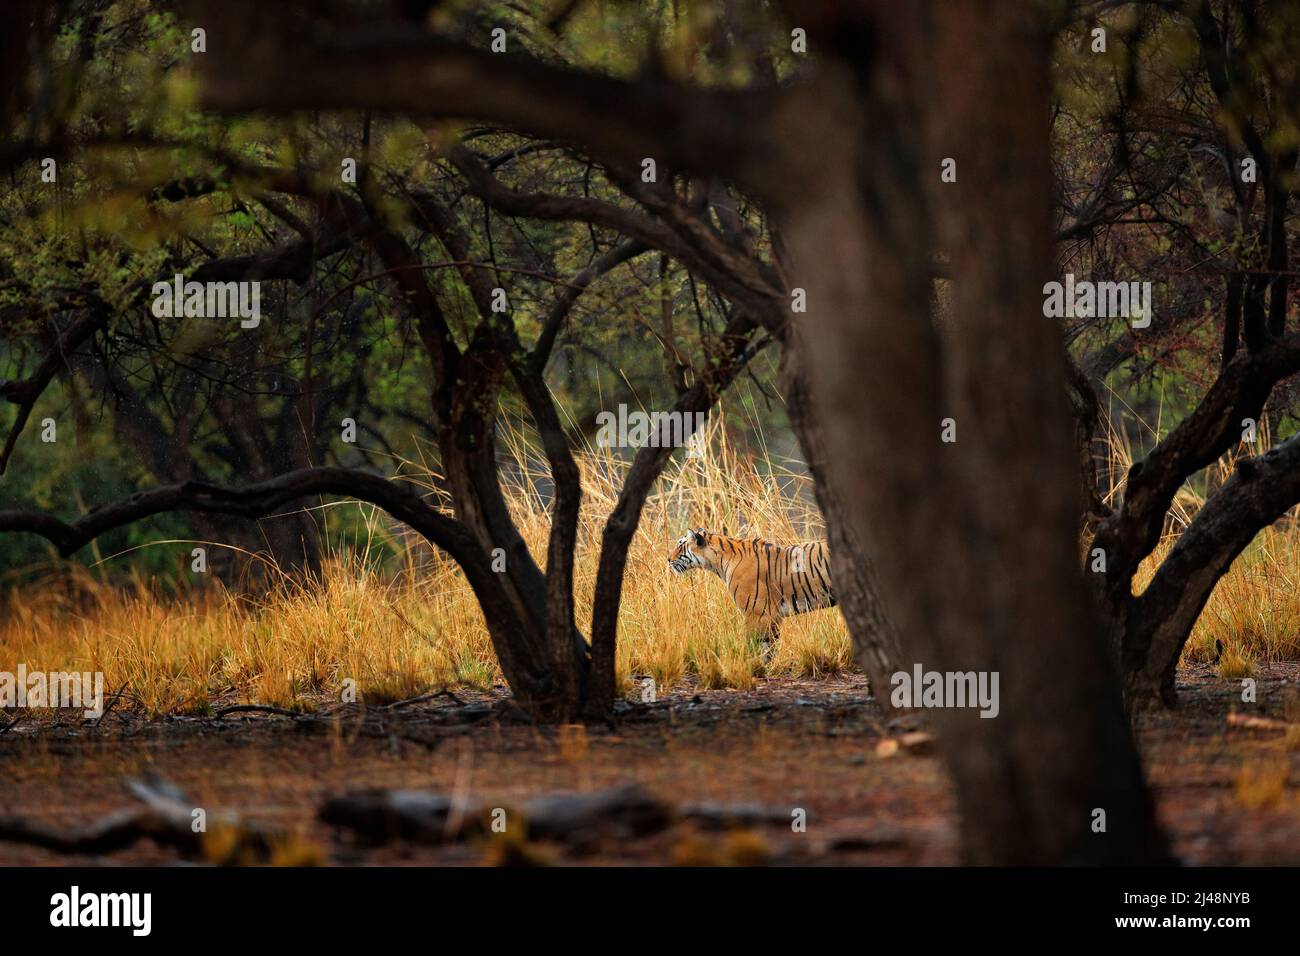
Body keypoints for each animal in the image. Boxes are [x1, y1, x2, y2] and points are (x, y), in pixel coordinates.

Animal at [668, 528, 837, 649]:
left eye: (680, 545)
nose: (668, 559)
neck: (718, 562)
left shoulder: (758, 613)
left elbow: (758, 646)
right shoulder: (770, 616)